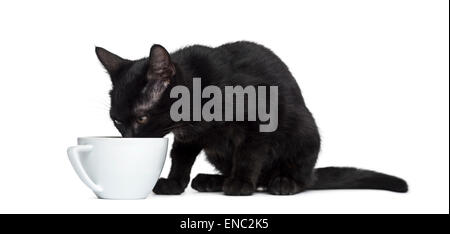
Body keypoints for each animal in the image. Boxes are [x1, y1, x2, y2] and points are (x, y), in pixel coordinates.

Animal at [95, 41, 408, 195]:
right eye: (117, 122)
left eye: (142, 119)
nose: (128, 139)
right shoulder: (190, 137)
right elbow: (180, 158)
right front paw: (174, 183)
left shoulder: (258, 122)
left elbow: (249, 154)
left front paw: (241, 183)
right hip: (217, 153)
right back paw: (212, 181)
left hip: (304, 130)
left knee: (298, 176)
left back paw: (283, 182)